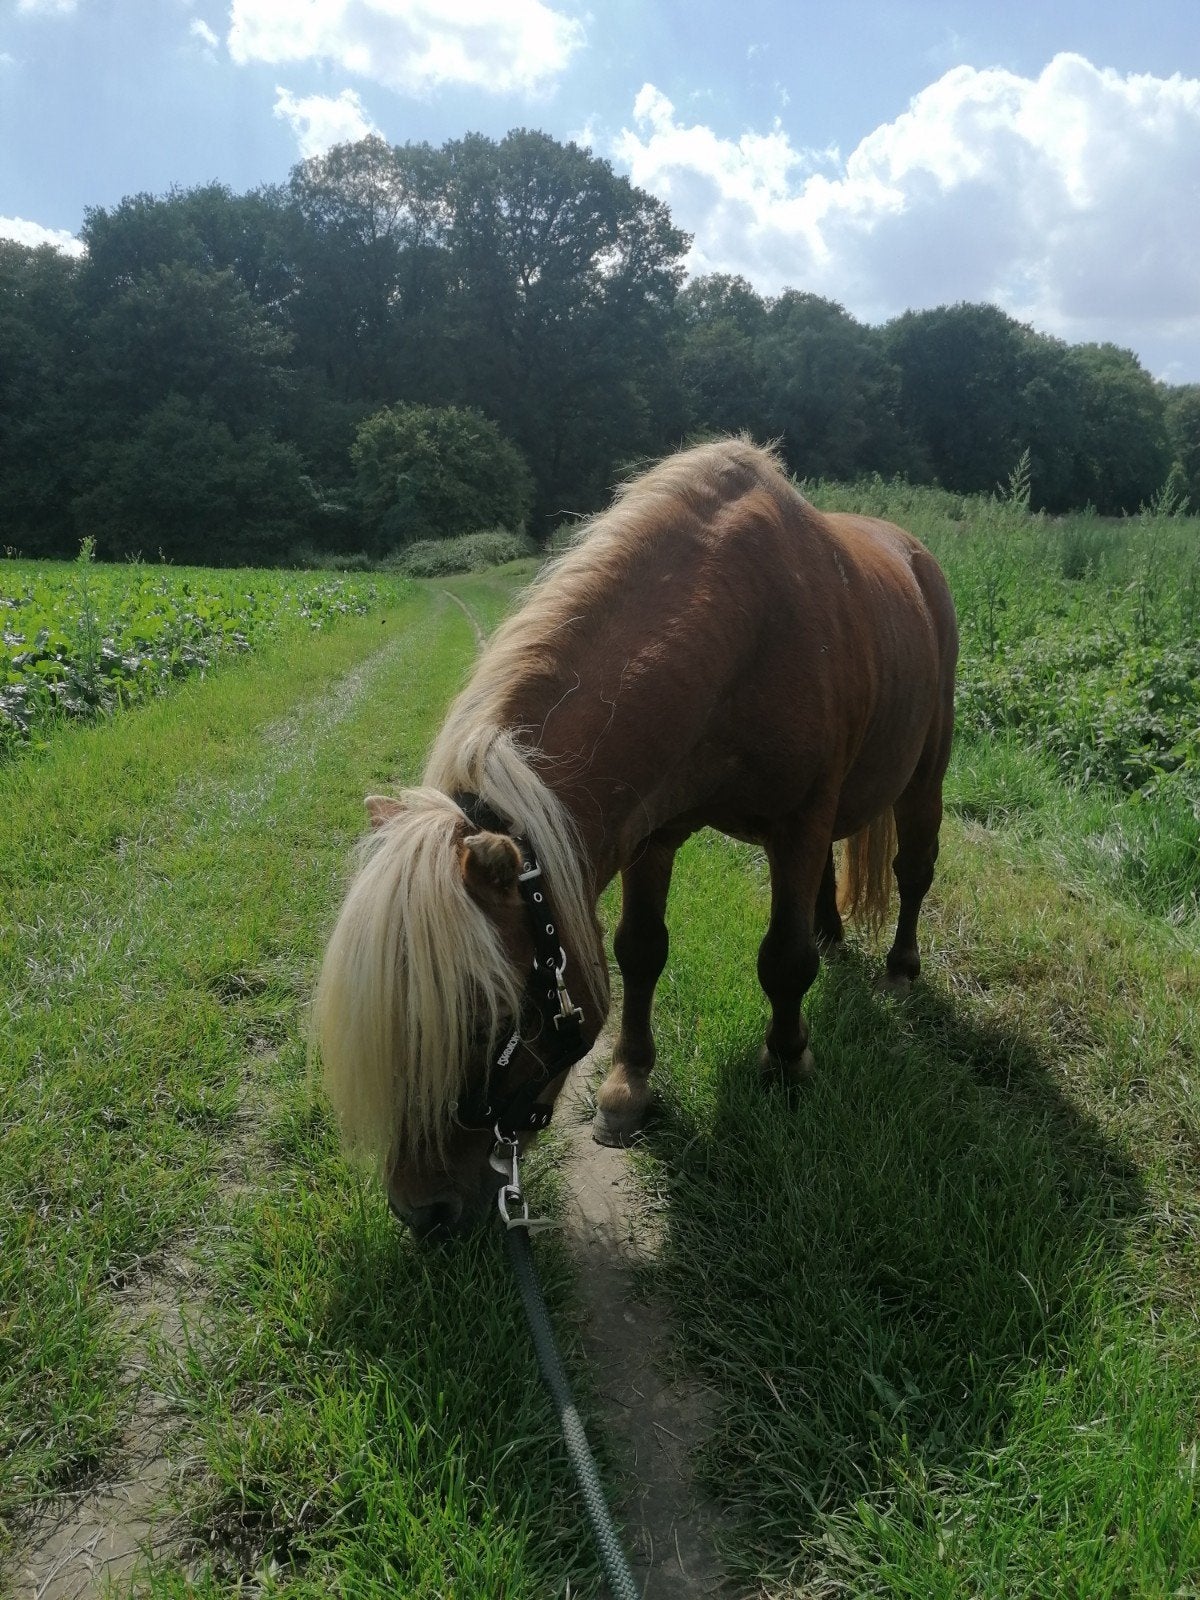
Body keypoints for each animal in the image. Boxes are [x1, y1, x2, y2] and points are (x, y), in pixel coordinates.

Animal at [314, 439, 958, 1236]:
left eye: (489, 1023)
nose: (422, 1212)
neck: (746, 634)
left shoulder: (798, 825)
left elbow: (784, 962)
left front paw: (788, 1064)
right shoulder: (655, 831)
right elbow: (641, 951)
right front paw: (628, 1087)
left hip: (925, 773)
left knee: (914, 869)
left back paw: (901, 968)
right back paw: (835, 933)